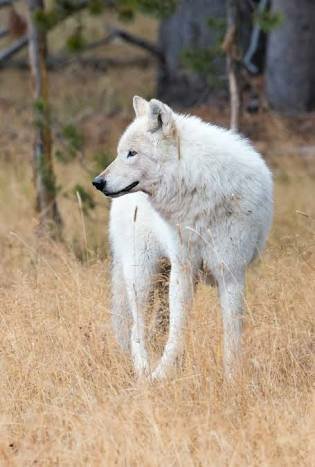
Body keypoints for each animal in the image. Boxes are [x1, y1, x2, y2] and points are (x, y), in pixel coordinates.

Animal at [92, 97, 272, 382]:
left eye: (131, 153)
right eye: (121, 152)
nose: (97, 182)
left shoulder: (231, 272)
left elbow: (232, 334)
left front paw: (232, 379)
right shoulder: (184, 270)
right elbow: (178, 332)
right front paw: (161, 376)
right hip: (143, 274)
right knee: (136, 330)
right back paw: (143, 372)